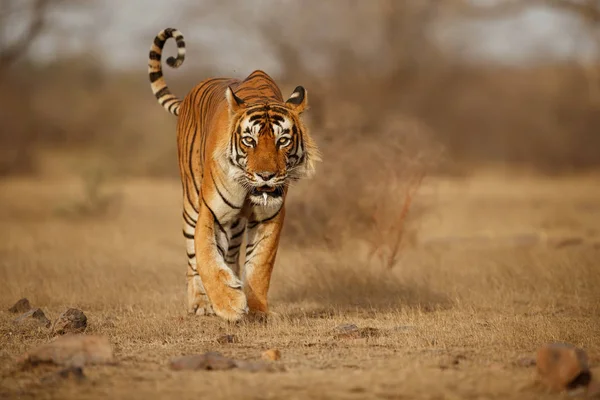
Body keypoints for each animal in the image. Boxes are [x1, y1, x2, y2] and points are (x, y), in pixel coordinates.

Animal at [148, 28, 322, 322]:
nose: (266, 175)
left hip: (237, 223)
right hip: (191, 202)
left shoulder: (270, 216)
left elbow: (259, 266)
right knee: (192, 258)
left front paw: (257, 310)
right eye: (249, 140)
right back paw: (200, 303)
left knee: (231, 255)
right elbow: (206, 257)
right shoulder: (211, 212)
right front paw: (228, 304)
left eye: (283, 141)